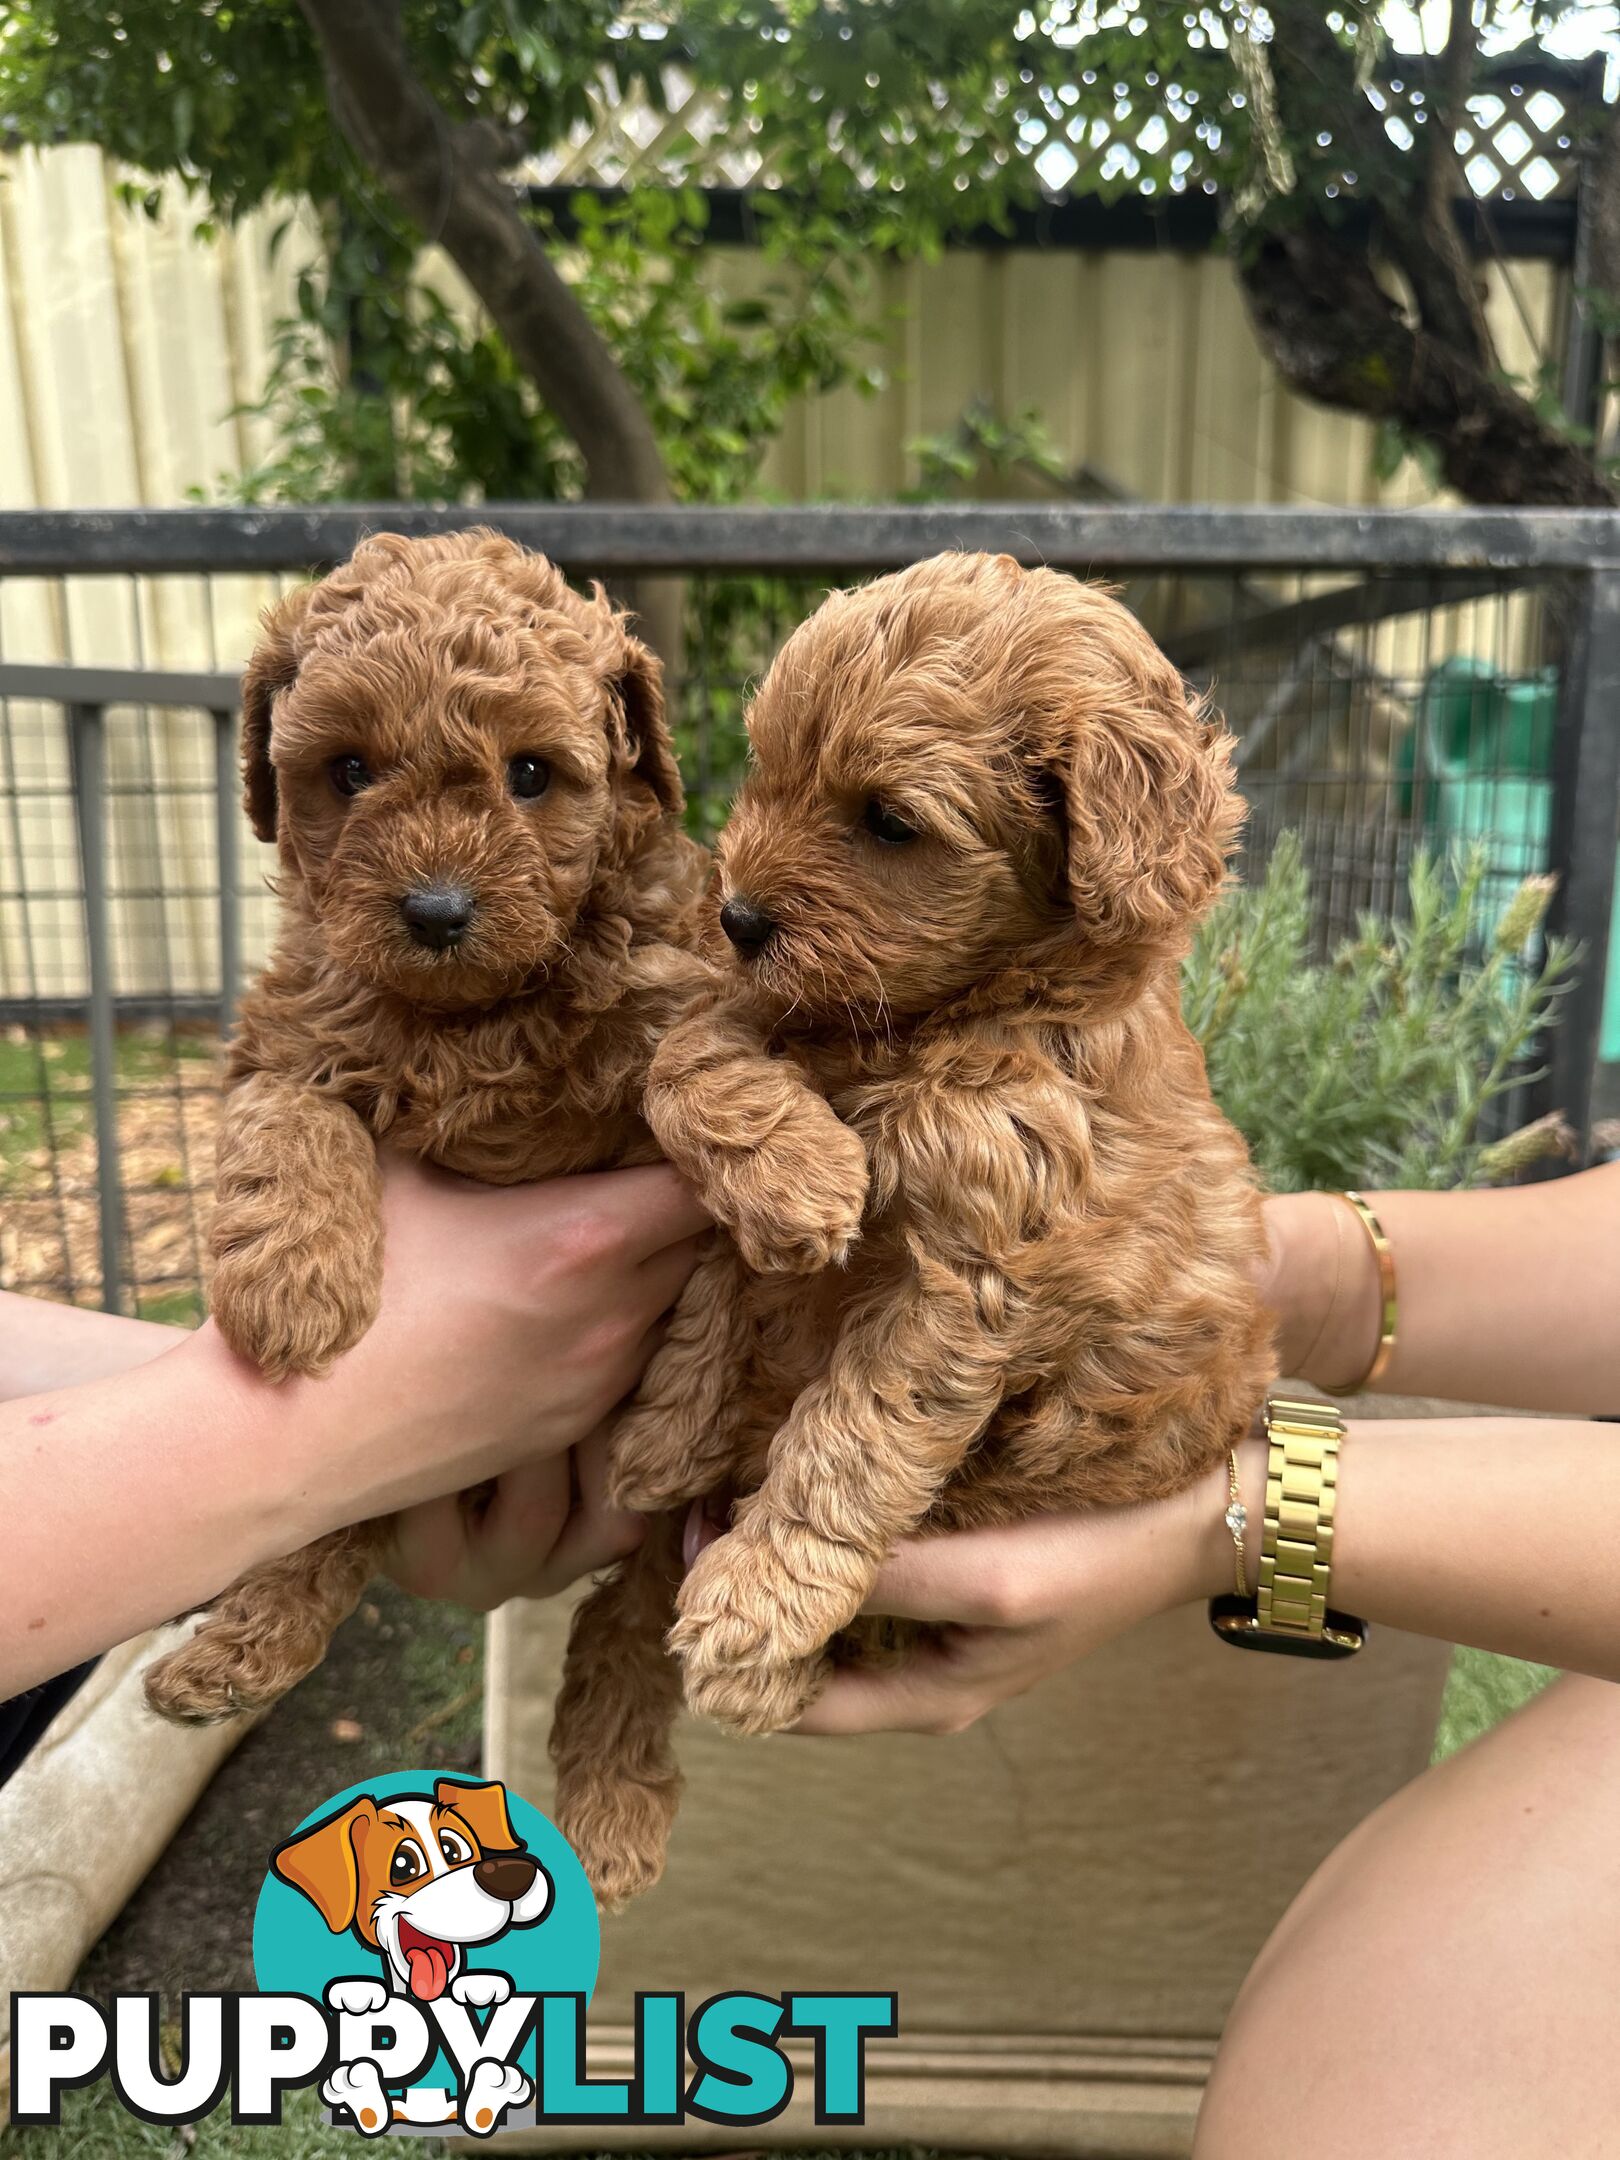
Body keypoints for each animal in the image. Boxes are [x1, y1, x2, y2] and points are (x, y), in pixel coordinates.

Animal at [145, 522, 708, 1719]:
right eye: (349, 771)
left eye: (531, 773)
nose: (438, 912)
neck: (466, 1018)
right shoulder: (285, 1031)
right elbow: (286, 1115)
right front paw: (290, 1286)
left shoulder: (663, 983)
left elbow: (690, 1053)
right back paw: (233, 1655)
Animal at [552, 552, 1278, 1909]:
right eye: (769, 770)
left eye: (890, 821)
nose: (736, 916)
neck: (943, 1023)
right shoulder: (766, 1024)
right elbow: (696, 1079)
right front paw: (785, 1196)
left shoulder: (971, 1278)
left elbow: (850, 1438)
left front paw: (762, 1608)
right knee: (614, 1618)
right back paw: (610, 1808)